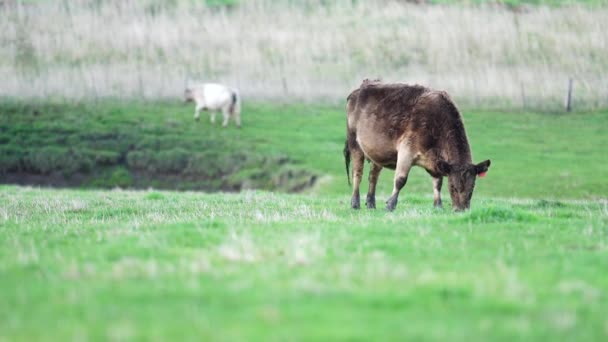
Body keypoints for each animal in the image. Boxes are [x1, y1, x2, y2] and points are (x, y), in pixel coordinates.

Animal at [344, 81, 492, 212]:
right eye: (452, 186)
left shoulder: (436, 160)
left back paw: (371, 204)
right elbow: (400, 180)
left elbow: (438, 183)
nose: (461, 210)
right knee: (357, 173)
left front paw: (438, 206)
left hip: (377, 152)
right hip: (354, 143)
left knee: (373, 176)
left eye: (472, 188)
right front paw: (390, 205)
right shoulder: (406, 149)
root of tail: (358, 90)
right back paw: (355, 203)